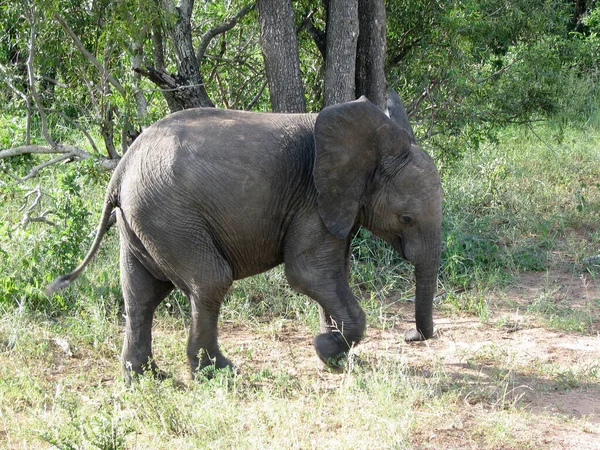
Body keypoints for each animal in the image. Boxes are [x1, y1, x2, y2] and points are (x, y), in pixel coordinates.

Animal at [47, 89, 442, 378]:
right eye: (406, 218)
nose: (410, 335)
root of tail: (122, 167)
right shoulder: (313, 200)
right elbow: (309, 274)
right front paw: (325, 348)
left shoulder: (336, 204)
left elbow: (332, 274)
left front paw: (336, 357)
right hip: (169, 216)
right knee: (209, 280)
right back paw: (218, 372)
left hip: (142, 219)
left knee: (141, 294)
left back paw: (145, 378)